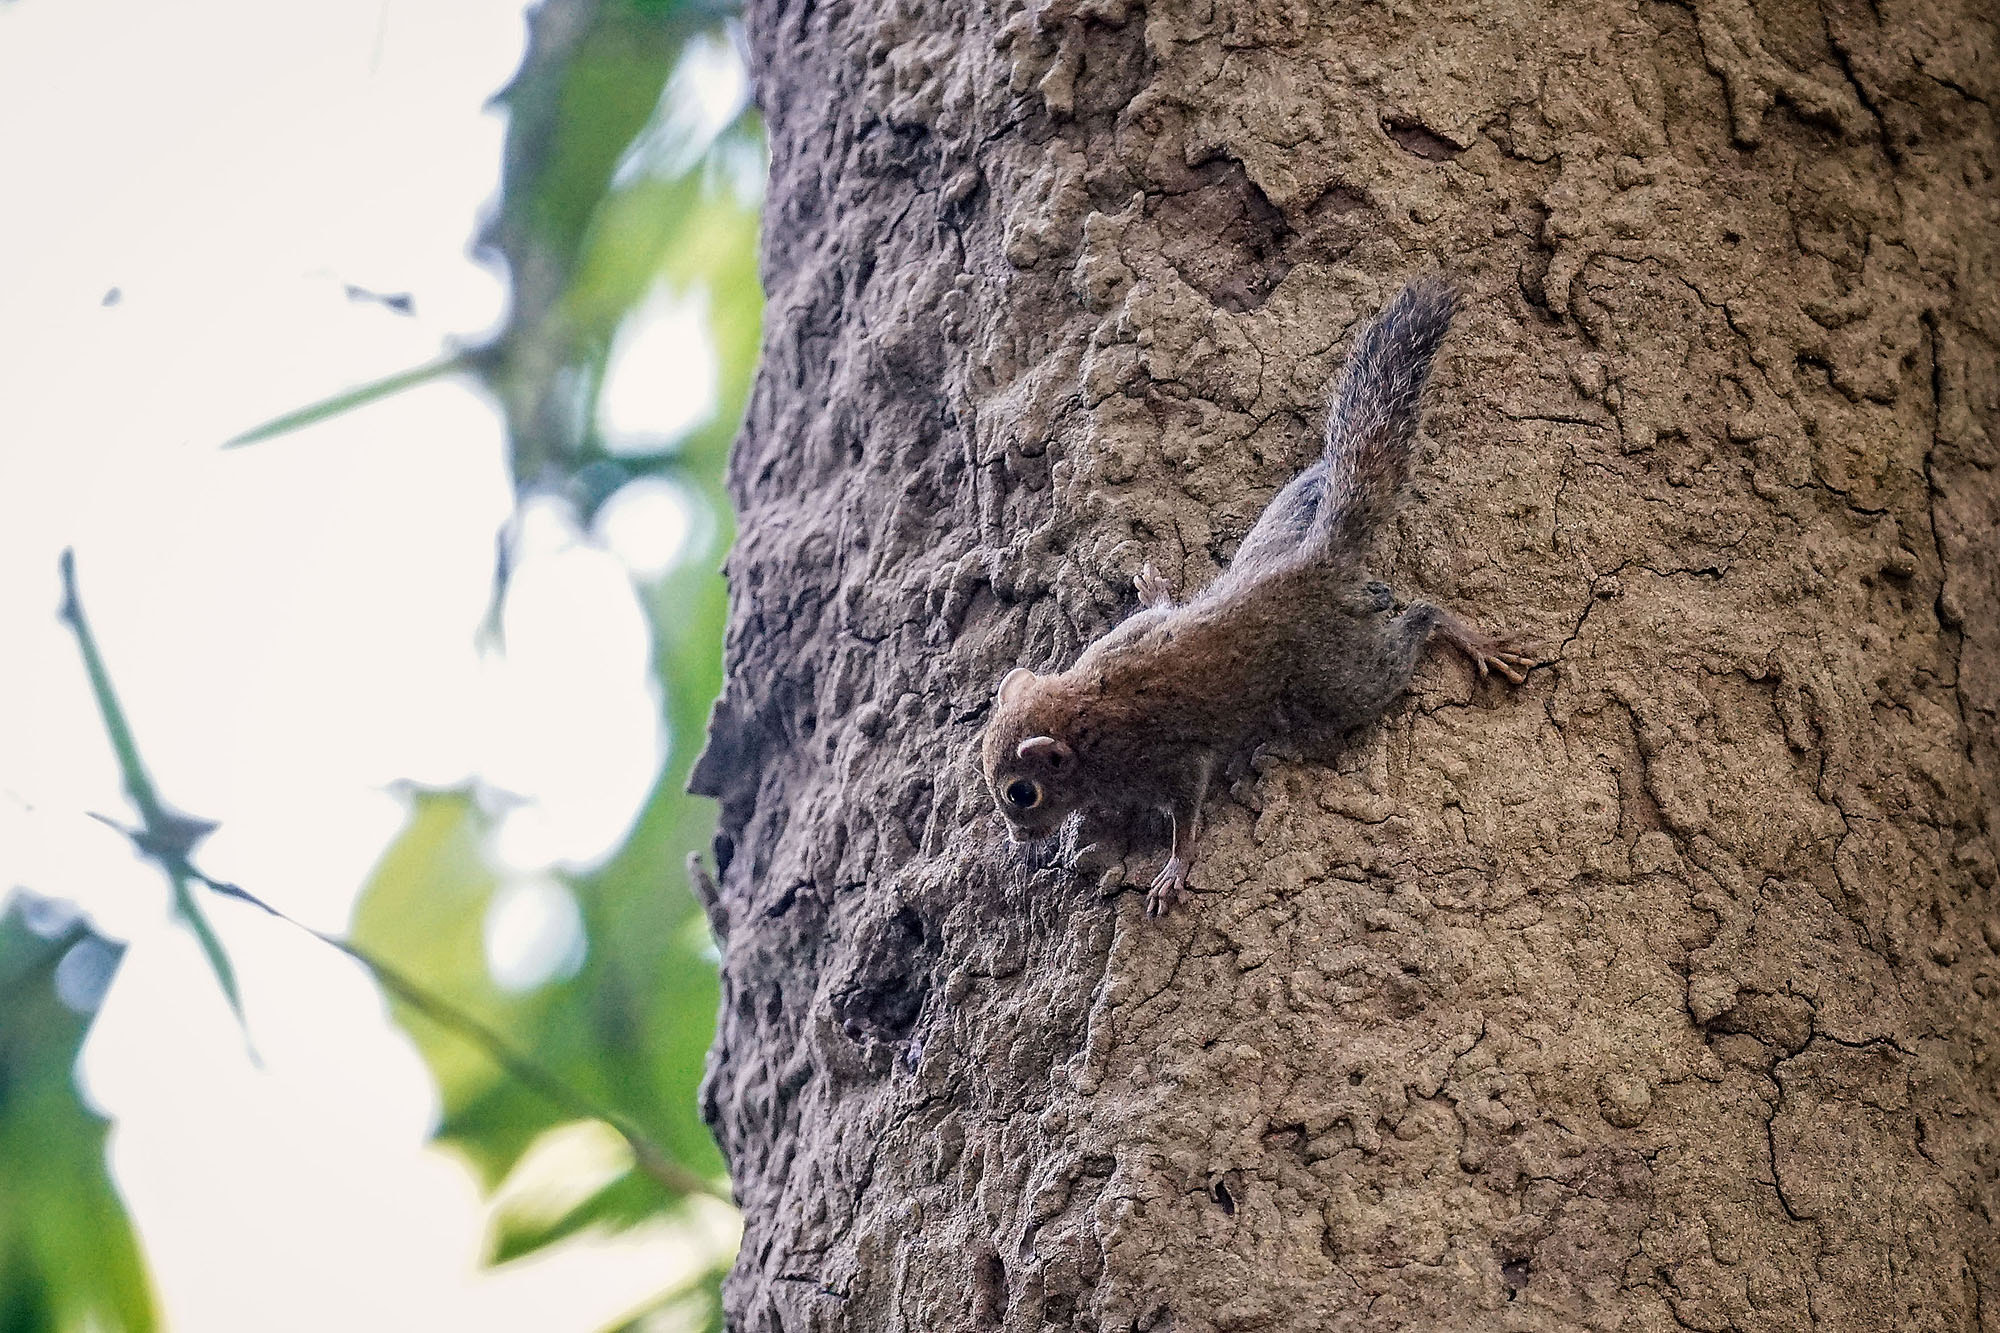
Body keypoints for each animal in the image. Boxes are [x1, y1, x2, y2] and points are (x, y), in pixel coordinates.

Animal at [981, 276, 1535, 917]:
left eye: (1022, 794)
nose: (1018, 840)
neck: (1080, 713)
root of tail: (1312, 565)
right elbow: (1155, 614)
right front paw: (1156, 588)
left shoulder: (1170, 758)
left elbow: (1187, 813)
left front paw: (1174, 868)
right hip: (1278, 527)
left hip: (1340, 681)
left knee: (1420, 618)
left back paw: (1468, 639)